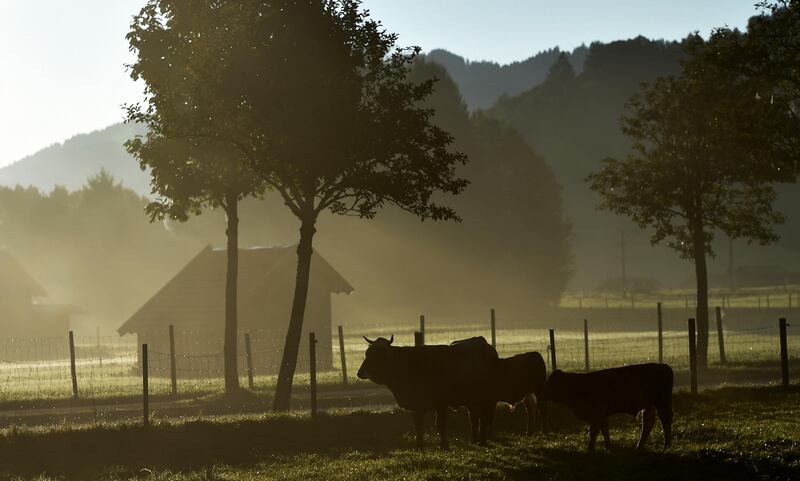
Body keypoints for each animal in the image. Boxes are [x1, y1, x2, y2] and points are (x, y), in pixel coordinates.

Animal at [356, 336, 494, 448]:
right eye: (367, 353)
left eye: (379, 354)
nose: (360, 372)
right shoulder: (416, 405)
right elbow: (418, 426)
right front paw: (419, 446)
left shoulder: (441, 403)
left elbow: (440, 424)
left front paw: (444, 445)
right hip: (472, 400)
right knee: (475, 417)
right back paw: (474, 440)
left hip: (486, 399)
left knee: (485, 418)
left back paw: (482, 441)